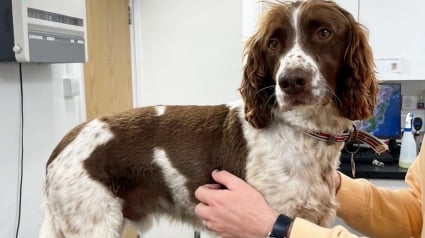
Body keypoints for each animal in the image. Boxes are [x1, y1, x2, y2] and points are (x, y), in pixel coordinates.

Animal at [41, 0, 376, 237]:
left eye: (324, 33)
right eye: (273, 44)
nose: (291, 81)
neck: (305, 130)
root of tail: (65, 141)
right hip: (94, 223)